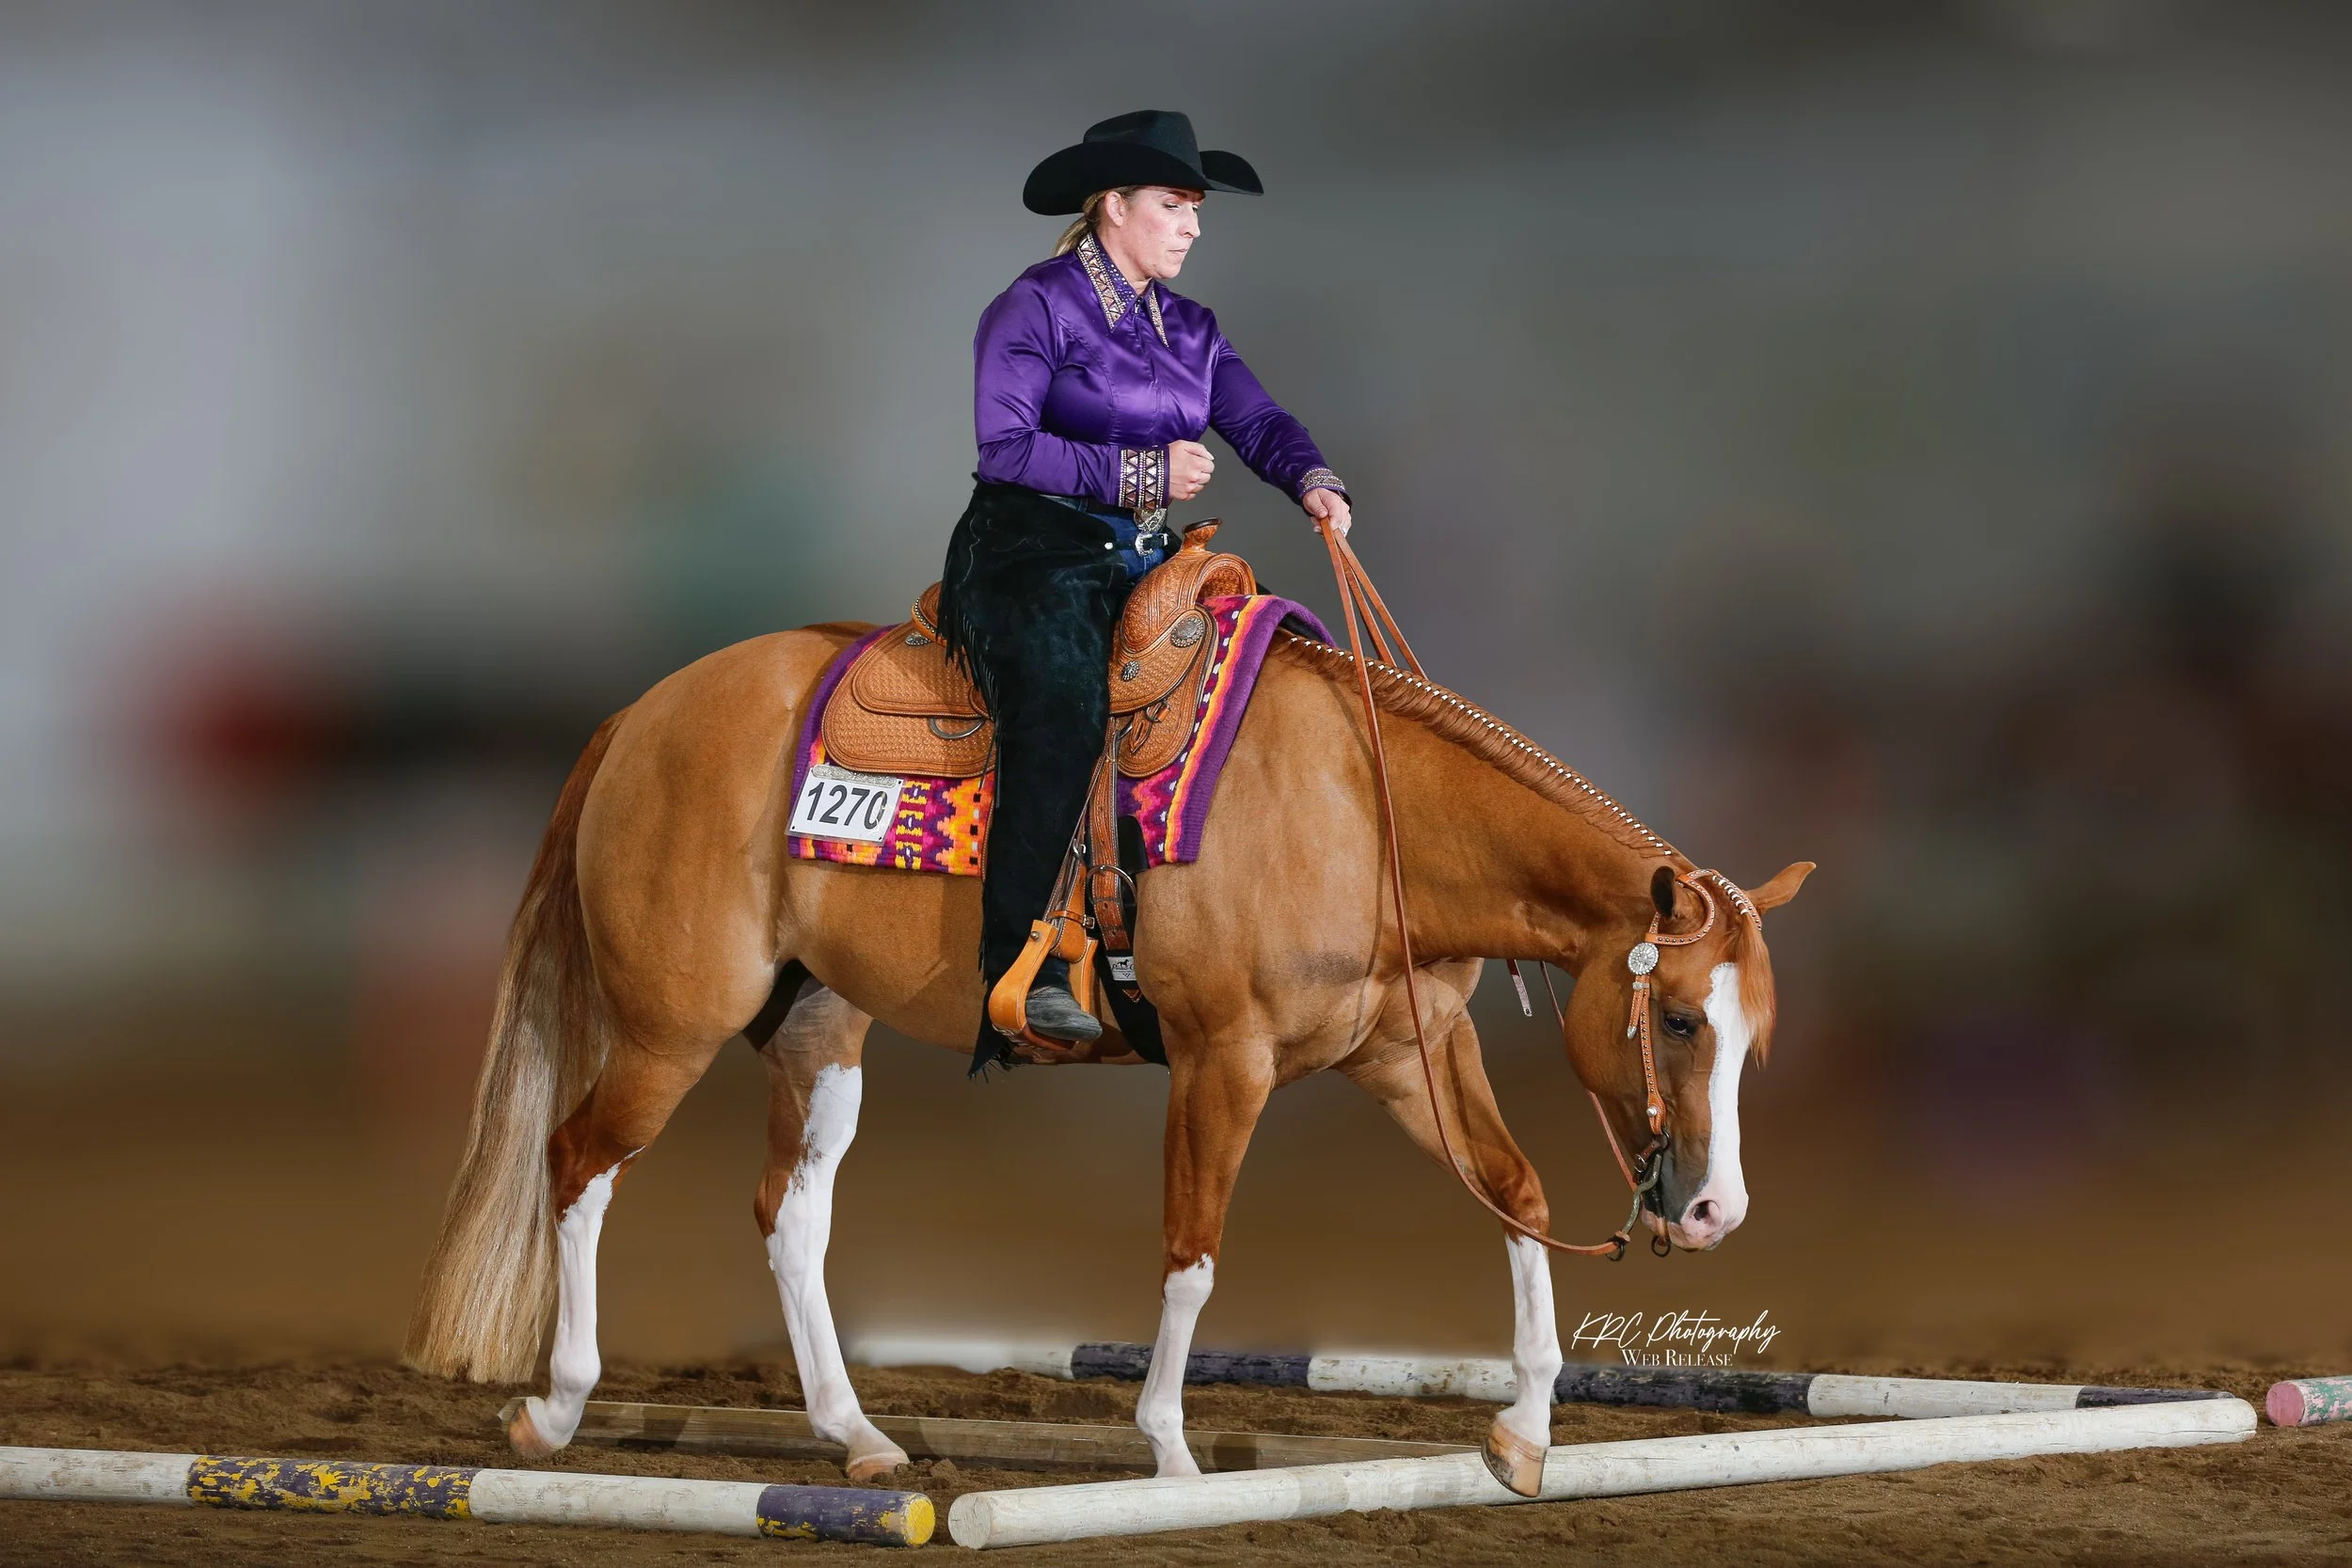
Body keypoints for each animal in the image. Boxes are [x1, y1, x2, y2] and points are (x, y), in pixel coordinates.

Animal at [401, 609, 1813, 1497]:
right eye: (1678, 1018)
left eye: (1756, 1038)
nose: (1715, 1211)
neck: (1361, 807)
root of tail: (641, 712)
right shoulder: (1222, 1061)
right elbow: (1192, 1254)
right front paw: (1171, 1451)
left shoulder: (1409, 1052)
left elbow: (1512, 1191)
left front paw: (1521, 1431)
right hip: (669, 1027)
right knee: (578, 1161)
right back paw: (555, 1405)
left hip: (817, 1033)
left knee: (788, 1215)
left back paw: (857, 1436)